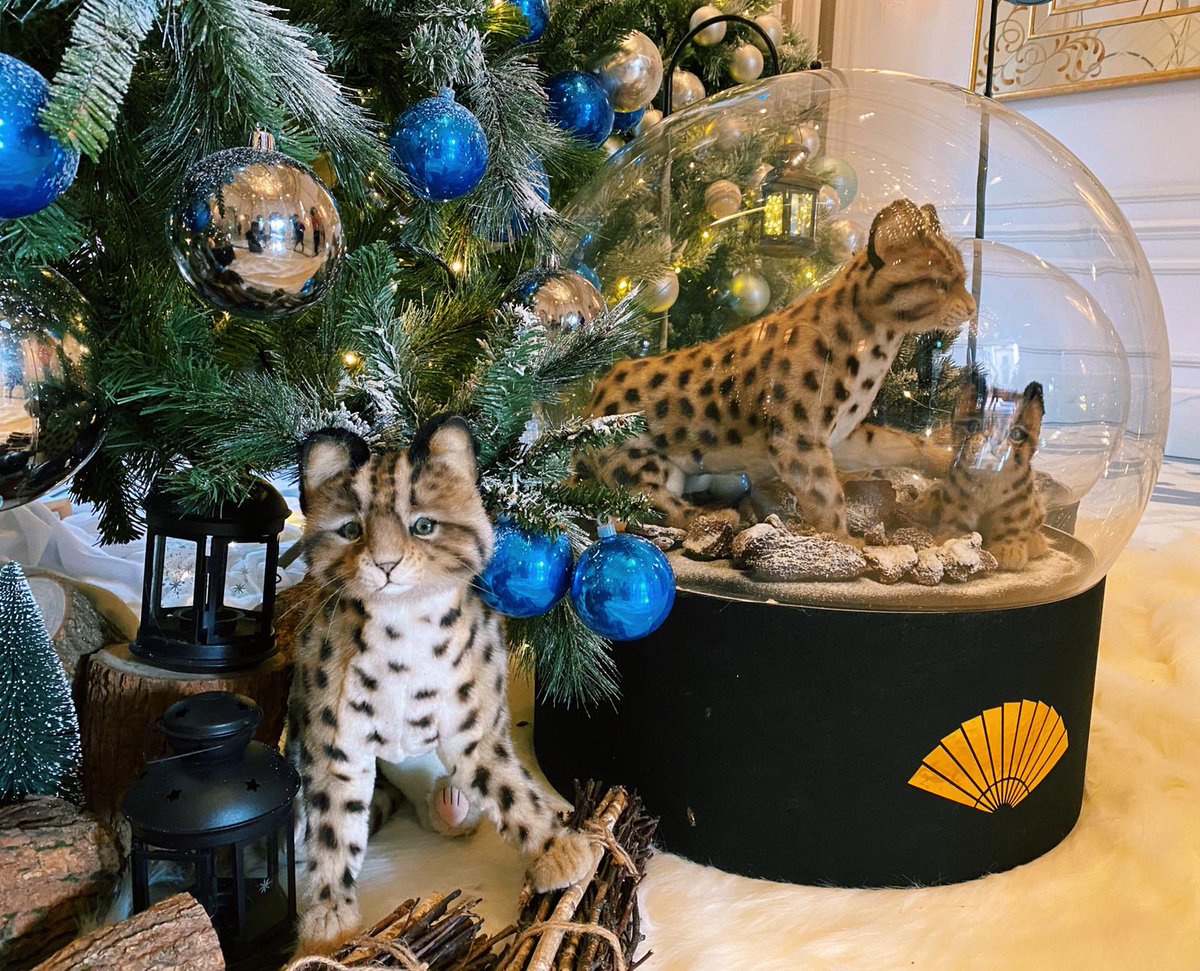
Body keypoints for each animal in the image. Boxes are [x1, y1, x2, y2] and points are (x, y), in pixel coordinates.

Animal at [287, 415, 598, 955]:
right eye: (351, 530)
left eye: (423, 525)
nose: (386, 564)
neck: (404, 625)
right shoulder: (335, 746)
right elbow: (331, 827)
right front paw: (328, 921)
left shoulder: (477, 730)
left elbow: (512, 789)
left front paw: (556, 852)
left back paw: (452, 805)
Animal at [580, 198, 977, 535]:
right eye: (941, 282)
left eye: (963, 276)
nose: (974, 309)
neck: (878, 342)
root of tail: (587, 410)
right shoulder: (796, 440)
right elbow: (829, 502)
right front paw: (849, 548)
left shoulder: (841, 435)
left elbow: (901, 441)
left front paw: (948, 460)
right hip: (641, 462)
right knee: (653, 505)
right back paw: (717, 517)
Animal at [918, 375, 1049, 570]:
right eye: (974, 426)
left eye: (1016, 434)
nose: (993, 441)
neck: (989, 476)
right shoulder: (958, 492)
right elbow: (956, 515)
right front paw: (954, 540)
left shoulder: (1019, 498)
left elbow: (1013, 521)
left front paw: (1008, 547)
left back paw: (1035, 541)